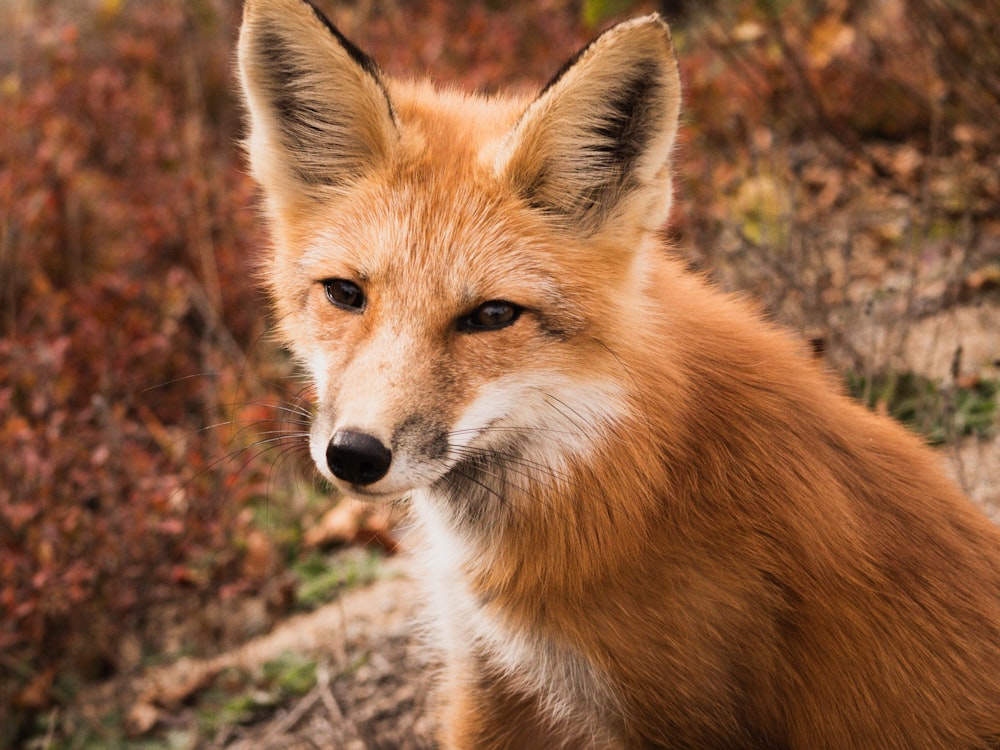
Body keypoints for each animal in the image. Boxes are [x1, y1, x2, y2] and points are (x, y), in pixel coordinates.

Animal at [236, 2, 1000, 748]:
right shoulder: (490, 675)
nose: (355, 455)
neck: (622, 468)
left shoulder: (678, 715)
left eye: (492, 315)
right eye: (345, 294)